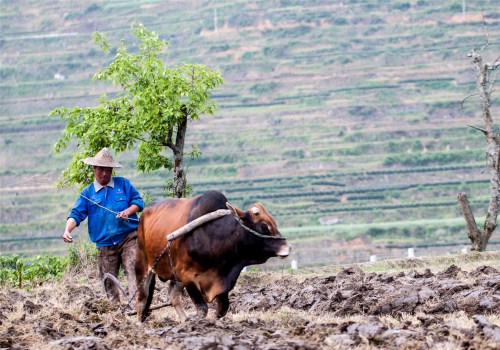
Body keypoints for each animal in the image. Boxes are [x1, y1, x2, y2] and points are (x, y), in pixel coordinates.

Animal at [134, 190, 290, 322]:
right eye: (264, 226)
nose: (287, 247)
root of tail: (145, 211)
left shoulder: (221, 280)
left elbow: (222, 309)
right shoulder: (187, 276)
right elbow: (203, 309)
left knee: (173, 297)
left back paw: (184, 321)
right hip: (143, 265)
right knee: (142, 299)